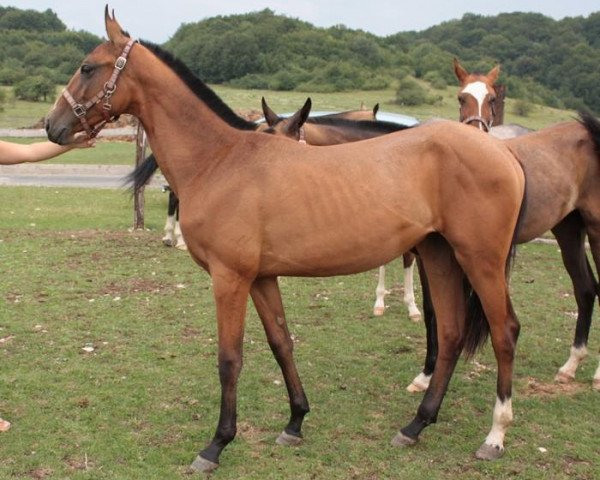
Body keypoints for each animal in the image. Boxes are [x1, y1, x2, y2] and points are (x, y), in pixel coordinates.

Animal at [45, 9, 524, 470]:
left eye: (87, 67)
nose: (52, 126)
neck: (220, 160)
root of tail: (502, 152)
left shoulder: (230, 278)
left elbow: (229, 359)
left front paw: (217, 444)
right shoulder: (260, 278)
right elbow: (282, 343)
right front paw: (295, 421)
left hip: (479, 259)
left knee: (504, 332)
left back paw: (495, 436)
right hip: (439, 255)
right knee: (451, 333)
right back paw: (416, 425)